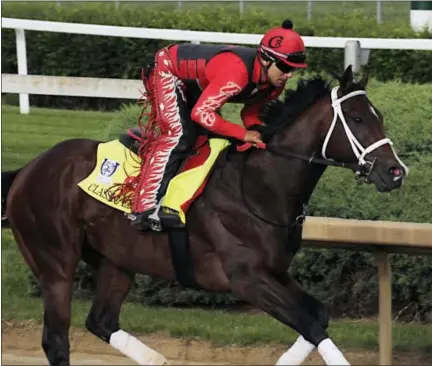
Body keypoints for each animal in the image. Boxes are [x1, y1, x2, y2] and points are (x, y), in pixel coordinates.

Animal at [2, 66, 408, 366]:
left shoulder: (276, 272)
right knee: (57, 340)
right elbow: (311, 324)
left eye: (379, 116)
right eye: (356, 118)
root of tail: (29, 169)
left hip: (116, 261)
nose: (395, 172)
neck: (256, 187)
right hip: (55, 263)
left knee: (100, 321)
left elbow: (319, 316)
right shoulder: (247, 280)